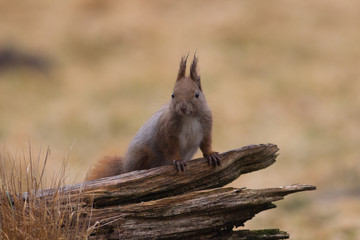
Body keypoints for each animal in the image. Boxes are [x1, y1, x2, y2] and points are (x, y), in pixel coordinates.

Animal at [88, 54, 221, 180]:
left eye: (197, 95)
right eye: (173, 95)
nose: (183, 108)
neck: (188, 118)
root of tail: (125, 167)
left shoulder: (206, 127)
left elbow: (206, 143)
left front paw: (211, 154)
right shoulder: (167, 132)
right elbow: (170, 148)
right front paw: (178, 161)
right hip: (145, 153)